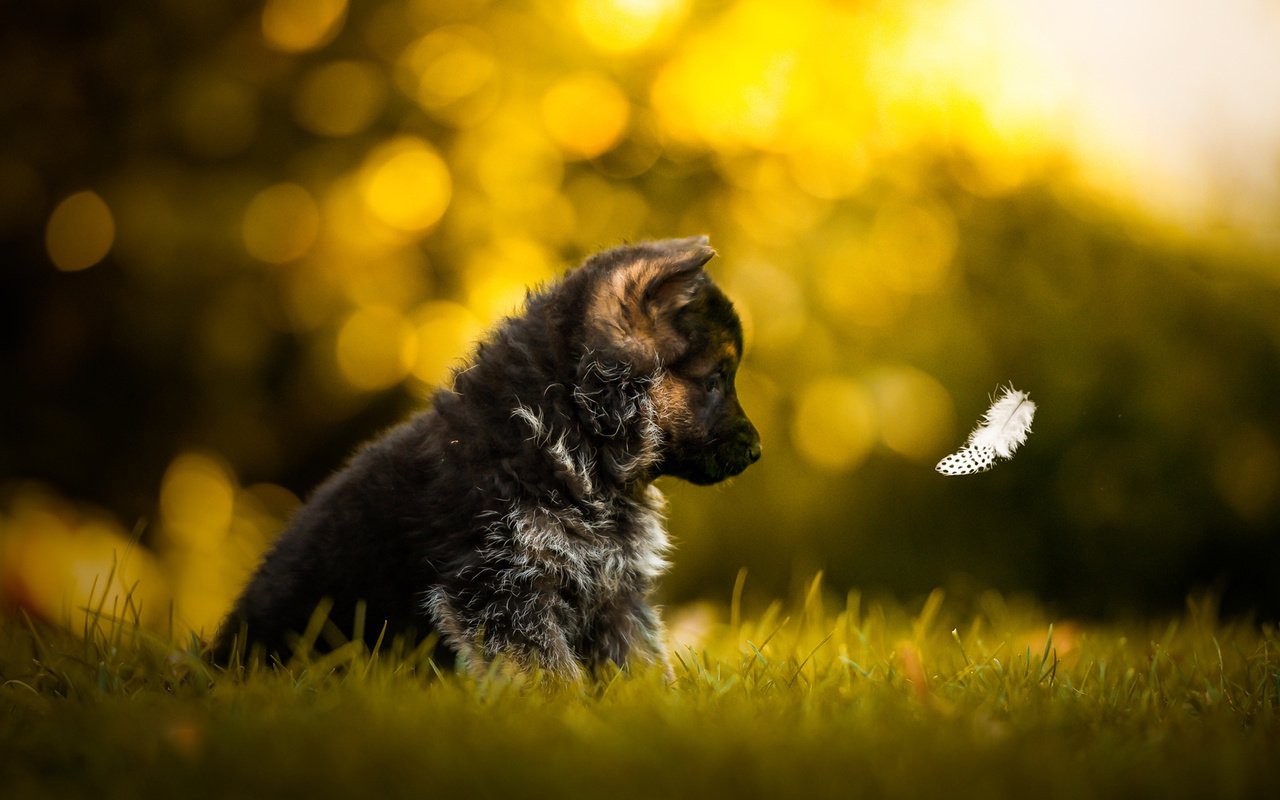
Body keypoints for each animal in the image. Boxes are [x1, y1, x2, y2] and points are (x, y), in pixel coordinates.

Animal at [215, 236, 757, 680]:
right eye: (715, 380)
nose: (756, 451)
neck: (570, 433)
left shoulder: (614, 590)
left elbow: (640, 662)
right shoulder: (501, 589)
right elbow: (548, 671)